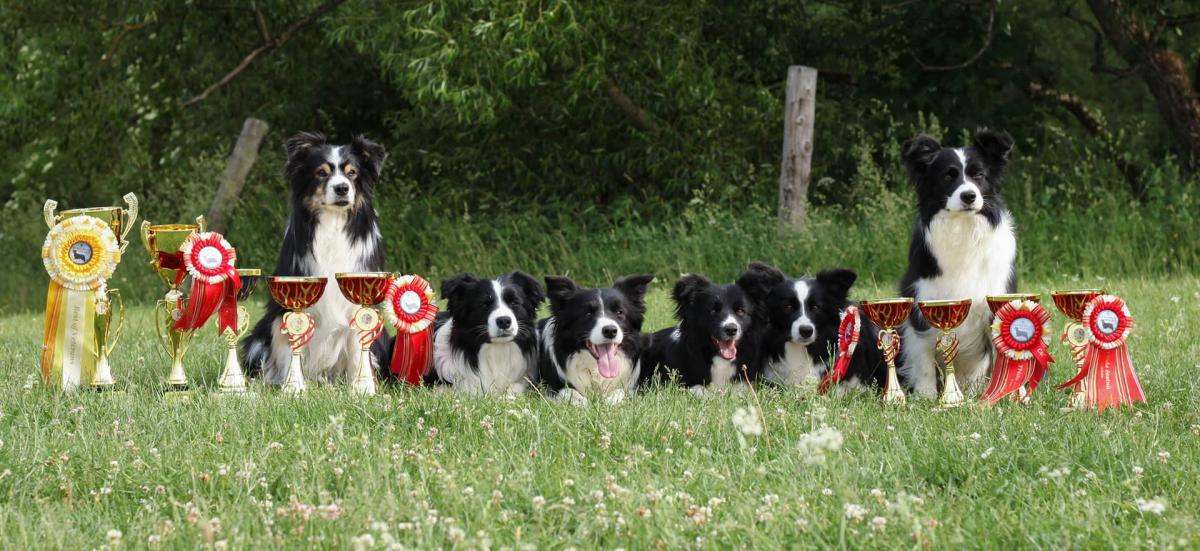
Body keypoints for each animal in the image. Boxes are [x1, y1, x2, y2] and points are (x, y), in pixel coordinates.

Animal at [241, 132, 391, 386]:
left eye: (352, 173)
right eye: (321, 172)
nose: (342, 188)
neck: (333, 222)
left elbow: (358, 349)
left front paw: (362, 387)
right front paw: (294, 386)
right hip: (257, 338)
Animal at [902, 127, 1012, 398]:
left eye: (979, 175)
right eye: (948, 176)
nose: (969, 195)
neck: (963, 229)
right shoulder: (922, 303)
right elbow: (923, 356)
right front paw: (926, 396)